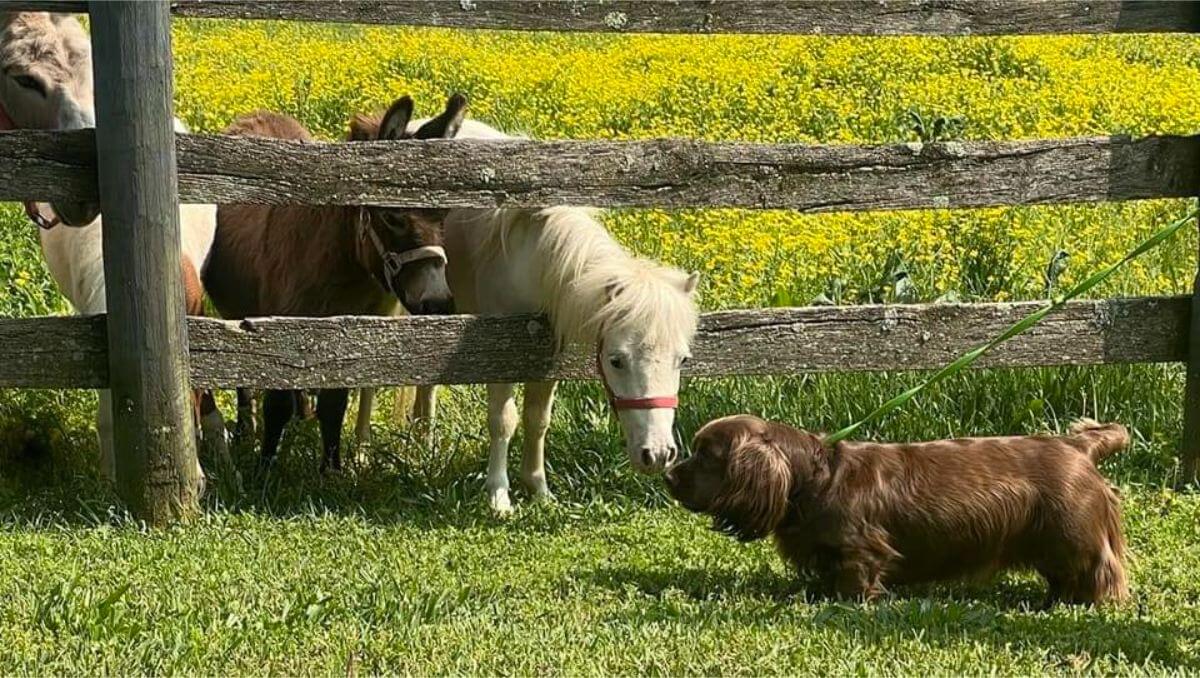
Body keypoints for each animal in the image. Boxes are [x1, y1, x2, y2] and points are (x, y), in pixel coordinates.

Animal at [364, 116, 700, 511]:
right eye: (616, 360)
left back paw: (424, 441)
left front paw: (538, 489)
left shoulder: (545, 354)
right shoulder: (501, 355)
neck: (532, 259)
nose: (658, 454)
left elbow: (538, 419)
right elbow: (503, 420)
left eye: (682, 360)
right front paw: (498, 495)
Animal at [662, 415, 1128, 604]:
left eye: (706, 455)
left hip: (1074, 539)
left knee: (1100, 572)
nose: (667, 476)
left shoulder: (860, 551)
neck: (814, 478)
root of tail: (1078, 445)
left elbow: (855, 580)